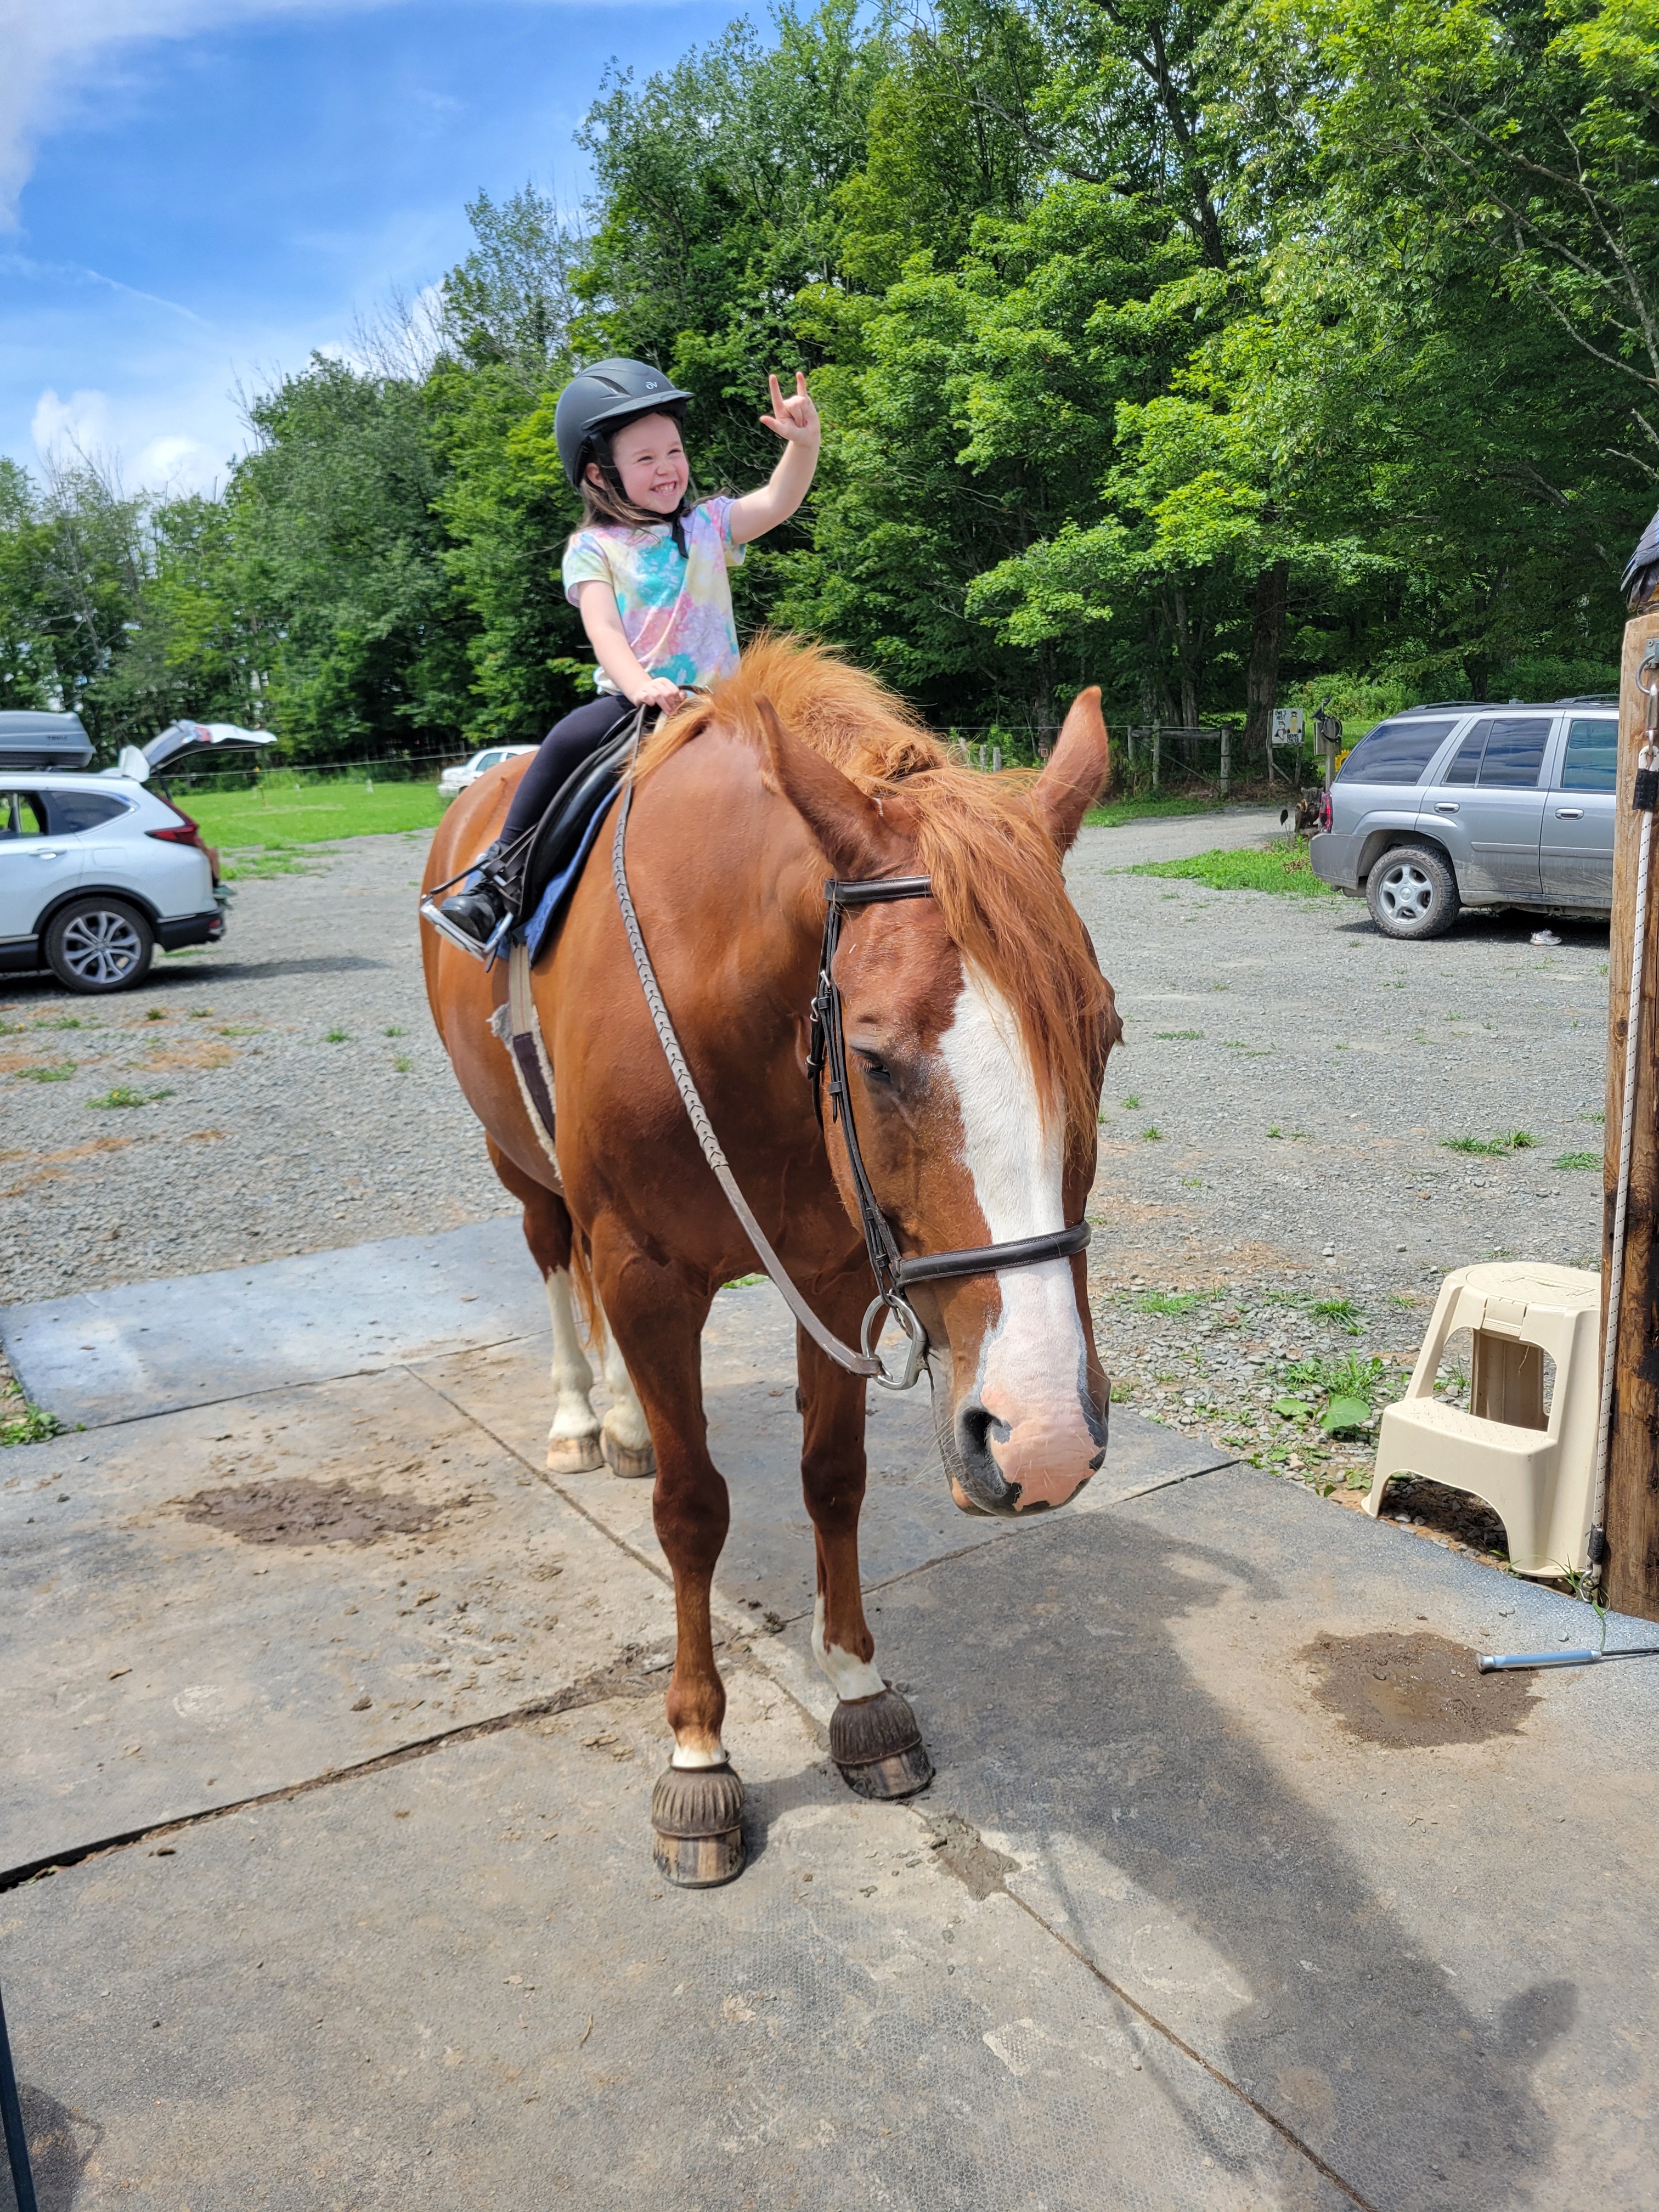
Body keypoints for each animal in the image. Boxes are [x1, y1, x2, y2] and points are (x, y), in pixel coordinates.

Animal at [422, 637, 1119, 1884]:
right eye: (874, 1057)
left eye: (1104, 1034)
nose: (1042, 1440)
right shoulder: (647, 1274)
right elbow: (694, 1511)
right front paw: (698, 1755)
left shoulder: (834, 1276)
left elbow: (832, 1480)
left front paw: (858, 1692)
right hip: (525, 1167)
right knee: (553, 1260)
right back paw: (582, 1419)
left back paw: (628, 1424)